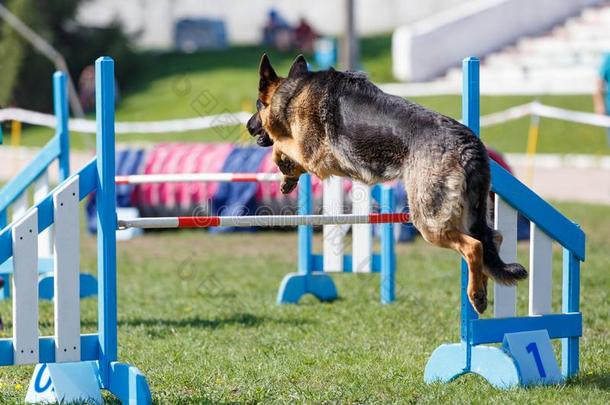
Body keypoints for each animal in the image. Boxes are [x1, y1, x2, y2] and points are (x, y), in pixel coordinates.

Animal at [245, 54, 524, 312]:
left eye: (258, 105)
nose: (248, 125)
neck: (295, 92)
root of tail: (468, 142)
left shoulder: (312, 153)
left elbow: (280, 145)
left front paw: (284, 167)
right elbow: (286, 151)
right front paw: (288, 177)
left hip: (429, 221)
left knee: (474, 247)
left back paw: (476, 294)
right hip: (468, 213)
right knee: (492, 240)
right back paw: (483, 288)